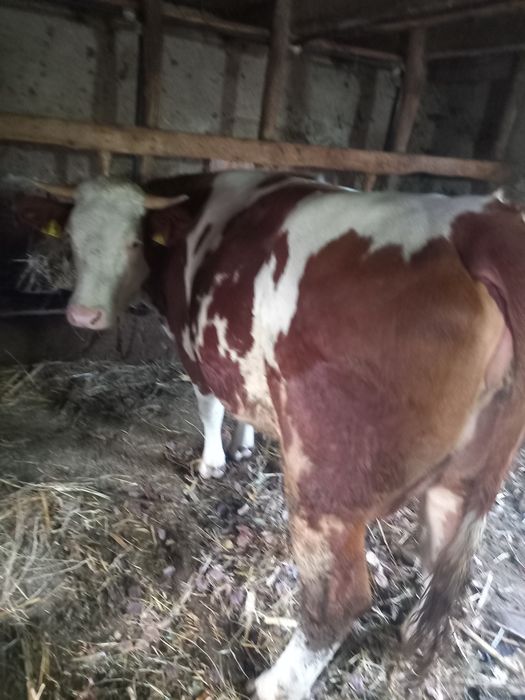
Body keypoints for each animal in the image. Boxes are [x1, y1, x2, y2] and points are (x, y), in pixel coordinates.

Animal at [15, 171, 525, 699]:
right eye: (72, 240)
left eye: (134, 241)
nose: (83, 315)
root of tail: (482, 221)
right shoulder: (237, 357)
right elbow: (241, 403)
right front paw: (242, 447)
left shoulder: (195, 349)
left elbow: (211, 406)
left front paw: (213, 462)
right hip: (470, 476)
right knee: (443, 559)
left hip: (327, 488)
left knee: (338, 600)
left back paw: (275, 684)